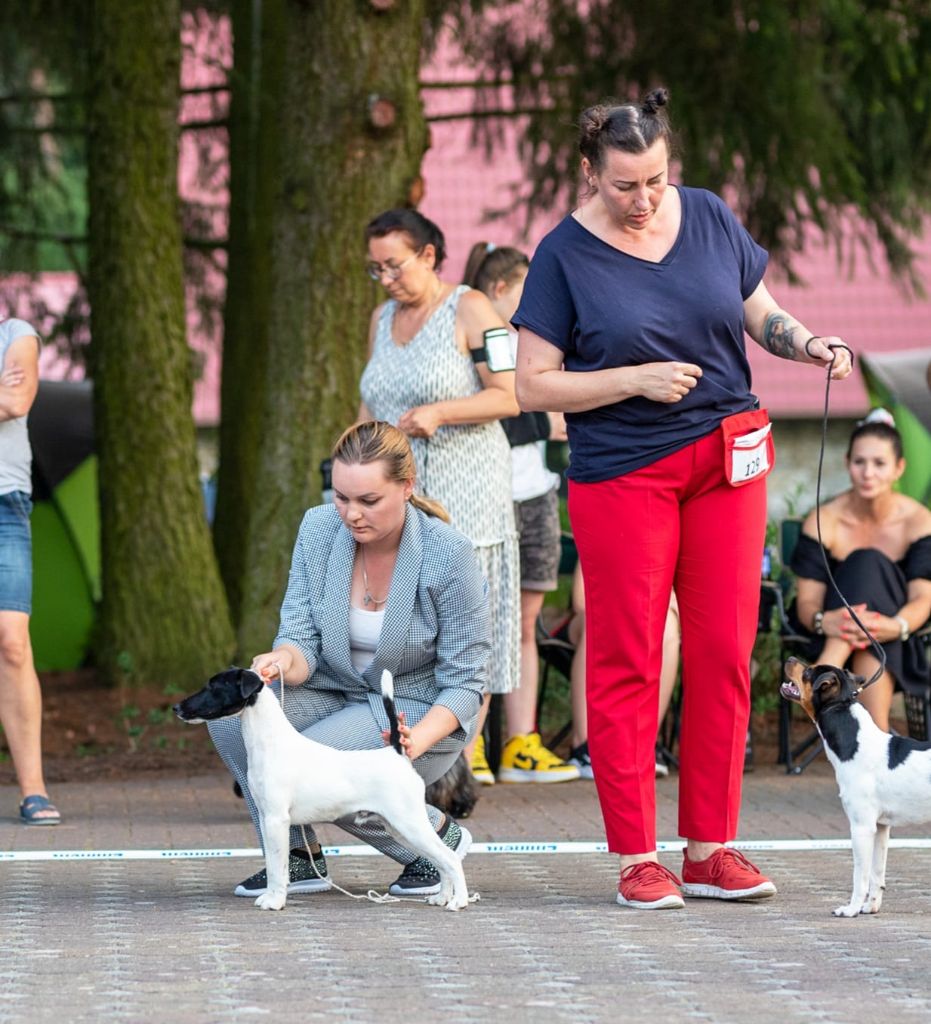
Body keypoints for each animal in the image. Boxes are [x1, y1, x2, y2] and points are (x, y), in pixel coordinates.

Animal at [176, 667, 473, 917]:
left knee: (448, 858)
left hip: (409, 823)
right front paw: (271, 896)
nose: (177, 707)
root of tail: (396, 754)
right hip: (399, 827)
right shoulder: (265, 818)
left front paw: (275, 901)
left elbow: (278, 866)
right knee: (441, 860)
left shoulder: (276, 820)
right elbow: (273, 865)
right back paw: (442, 897)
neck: (270, 743)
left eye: (214, 686)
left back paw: (458, 901)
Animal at [782, 659, 929, 917]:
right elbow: (876, 874)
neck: (855, 743)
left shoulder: (861, 828)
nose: (789, 659)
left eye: (809, 671)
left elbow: (859, 876)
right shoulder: (880, 828)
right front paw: (870, 907)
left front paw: (851, 909)